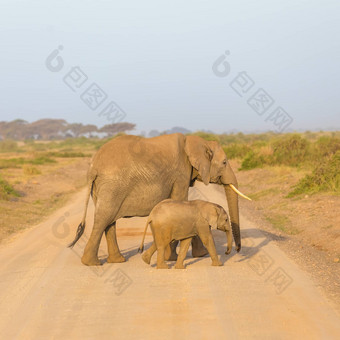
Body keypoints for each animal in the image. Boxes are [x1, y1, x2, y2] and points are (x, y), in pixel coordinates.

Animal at [69, 133, 250, 266]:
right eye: (225, 162)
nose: (235, 250)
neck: (195, 141)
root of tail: (93, 166)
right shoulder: (180, 173)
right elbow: (181, 201)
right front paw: (179, 257)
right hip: (112, 186)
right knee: (103, 219)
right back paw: (92, 263)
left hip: (102, 188)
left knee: (109, 220)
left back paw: (117, 261)